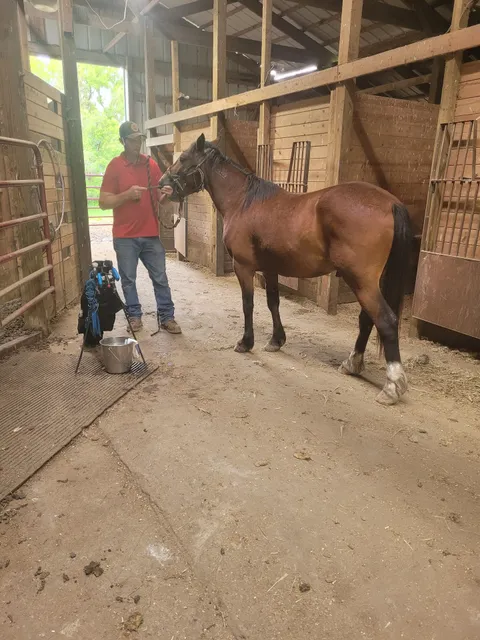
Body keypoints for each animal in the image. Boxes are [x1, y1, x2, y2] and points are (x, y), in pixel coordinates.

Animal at [159, 134, 413, 405]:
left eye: (183, 158)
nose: (162, 184)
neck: (243, 202)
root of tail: (391, 203)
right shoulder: (270, 269)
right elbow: (273, 302)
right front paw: (276, 340)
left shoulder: (244, 267)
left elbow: (248, 304)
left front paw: (246, 342)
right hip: (369, 282)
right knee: (367, 319)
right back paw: (352, 364)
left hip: (361, 281)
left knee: (385, 320)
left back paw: (392, 386)